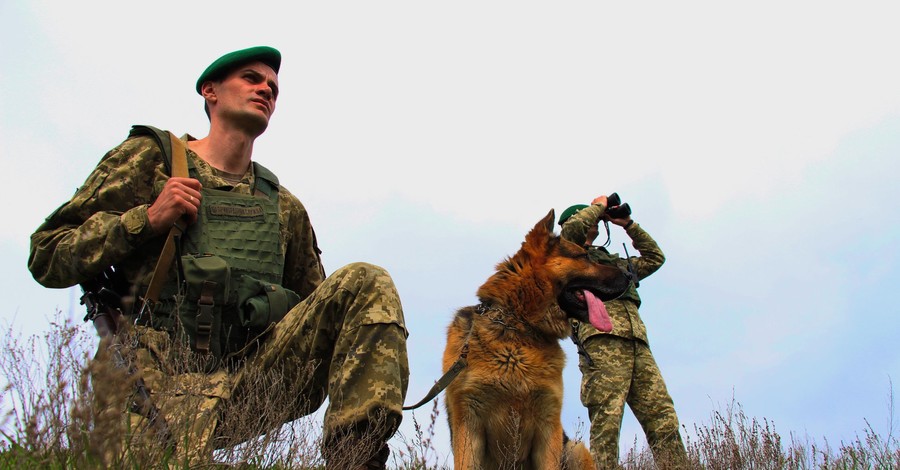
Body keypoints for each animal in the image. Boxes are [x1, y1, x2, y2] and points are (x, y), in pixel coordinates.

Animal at [444, 210, 632, 470]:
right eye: (584, 256)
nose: (630, 274)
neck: (517, 326)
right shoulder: (468, 425)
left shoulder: (548, 425)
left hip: (575, 449)